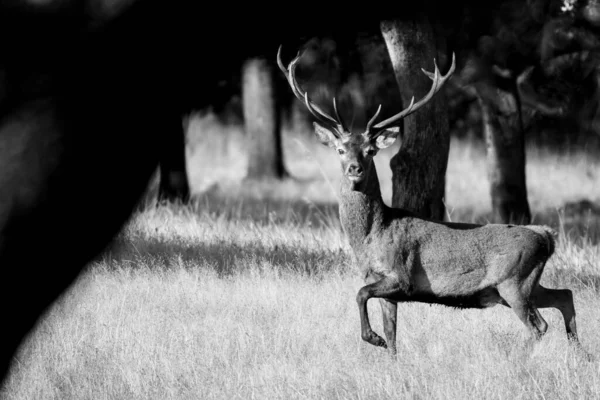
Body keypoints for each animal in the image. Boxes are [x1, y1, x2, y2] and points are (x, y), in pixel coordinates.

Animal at [278, 45, 580, 354]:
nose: (354, 169)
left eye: (371, 150)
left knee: (539, 325)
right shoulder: (383, 286)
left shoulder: (402, 277)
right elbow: (392, 335)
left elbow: (360, 295)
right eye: (340, 149)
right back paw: (578, 351)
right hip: (523, 285)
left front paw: (373, 338)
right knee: (565, 296)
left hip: (513, 281)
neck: (371, 236)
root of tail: (545, 237)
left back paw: (522, 356)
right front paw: (387, 351)